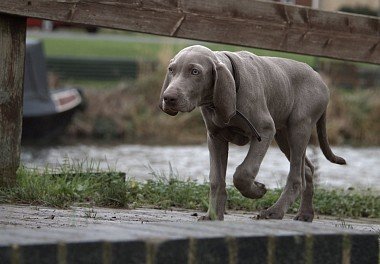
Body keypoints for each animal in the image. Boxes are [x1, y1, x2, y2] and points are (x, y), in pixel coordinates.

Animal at [159, 44, 346, 221]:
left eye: (195, 71)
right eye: (171, 69)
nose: (168, 98)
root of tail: (319, 78)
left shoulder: (264, 130)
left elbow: (244, 172)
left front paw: (258, 190)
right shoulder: (215, 137)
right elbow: (216, 179)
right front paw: (213, 215)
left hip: (299, 126)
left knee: (296, 177)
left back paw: (274, 212)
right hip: (283, 134)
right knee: (307, 169)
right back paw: (305, 214)